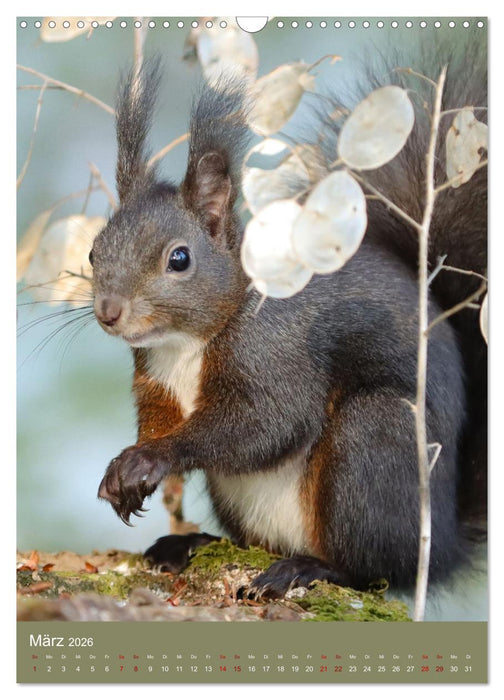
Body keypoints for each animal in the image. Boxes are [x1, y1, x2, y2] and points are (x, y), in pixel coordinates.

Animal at [91, 38, 487, 598]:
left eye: (179, 258)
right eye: (93, 252)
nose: (109, 312)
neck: (185, 344)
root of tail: (446, 543)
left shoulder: (276, 353)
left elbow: (269, 422)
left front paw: (151, 459)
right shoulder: (156, 381)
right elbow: (161, 420)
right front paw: (124, 471)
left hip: (376, 444)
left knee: (375, 569)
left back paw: (309, 568)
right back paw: (192, 545)